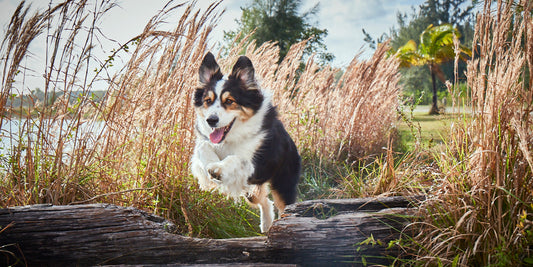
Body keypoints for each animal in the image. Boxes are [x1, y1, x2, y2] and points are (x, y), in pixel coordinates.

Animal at [190, 51, 300, 232]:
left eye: (229, 101)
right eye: (208, 100)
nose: (211, 120)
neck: (231, 137)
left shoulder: (256, 165)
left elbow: (236, 158)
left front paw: (218, 168)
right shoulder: (205, 142)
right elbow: (204, 146)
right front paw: (211, 166)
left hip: (282, 184)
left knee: (284, 207)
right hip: (251, 191)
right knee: (265, 201)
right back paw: (266, 225)